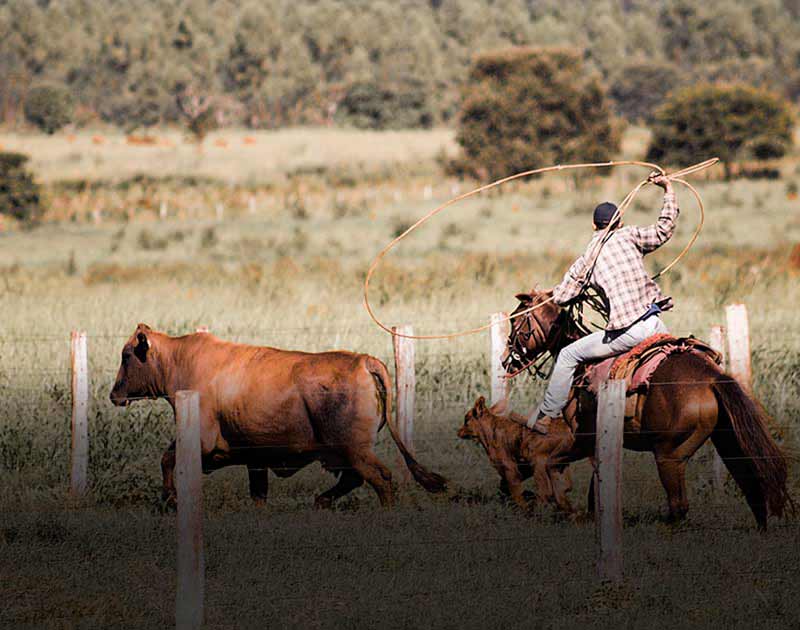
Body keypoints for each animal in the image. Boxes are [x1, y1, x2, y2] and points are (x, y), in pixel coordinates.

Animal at [109, 326, 446, 508]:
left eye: (126, 356)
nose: (114, 395)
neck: (180, 361)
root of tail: (364, 361)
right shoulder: (254, 459)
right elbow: (258, 493)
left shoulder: (201, 442)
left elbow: (167, 459)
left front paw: (171, 498)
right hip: (344, 454)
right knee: (354, 479)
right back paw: (321, 502)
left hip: (354, 451)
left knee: (380, 478)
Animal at [504, 290, 792, 528]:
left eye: (515, 322)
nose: (506, 361)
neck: (580, 369)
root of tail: (712, 378)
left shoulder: (584, 437)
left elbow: (556, 465)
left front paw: (570, 510)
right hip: (724, 440)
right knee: (749, 482)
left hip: (668, 455)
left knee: (679, 505)